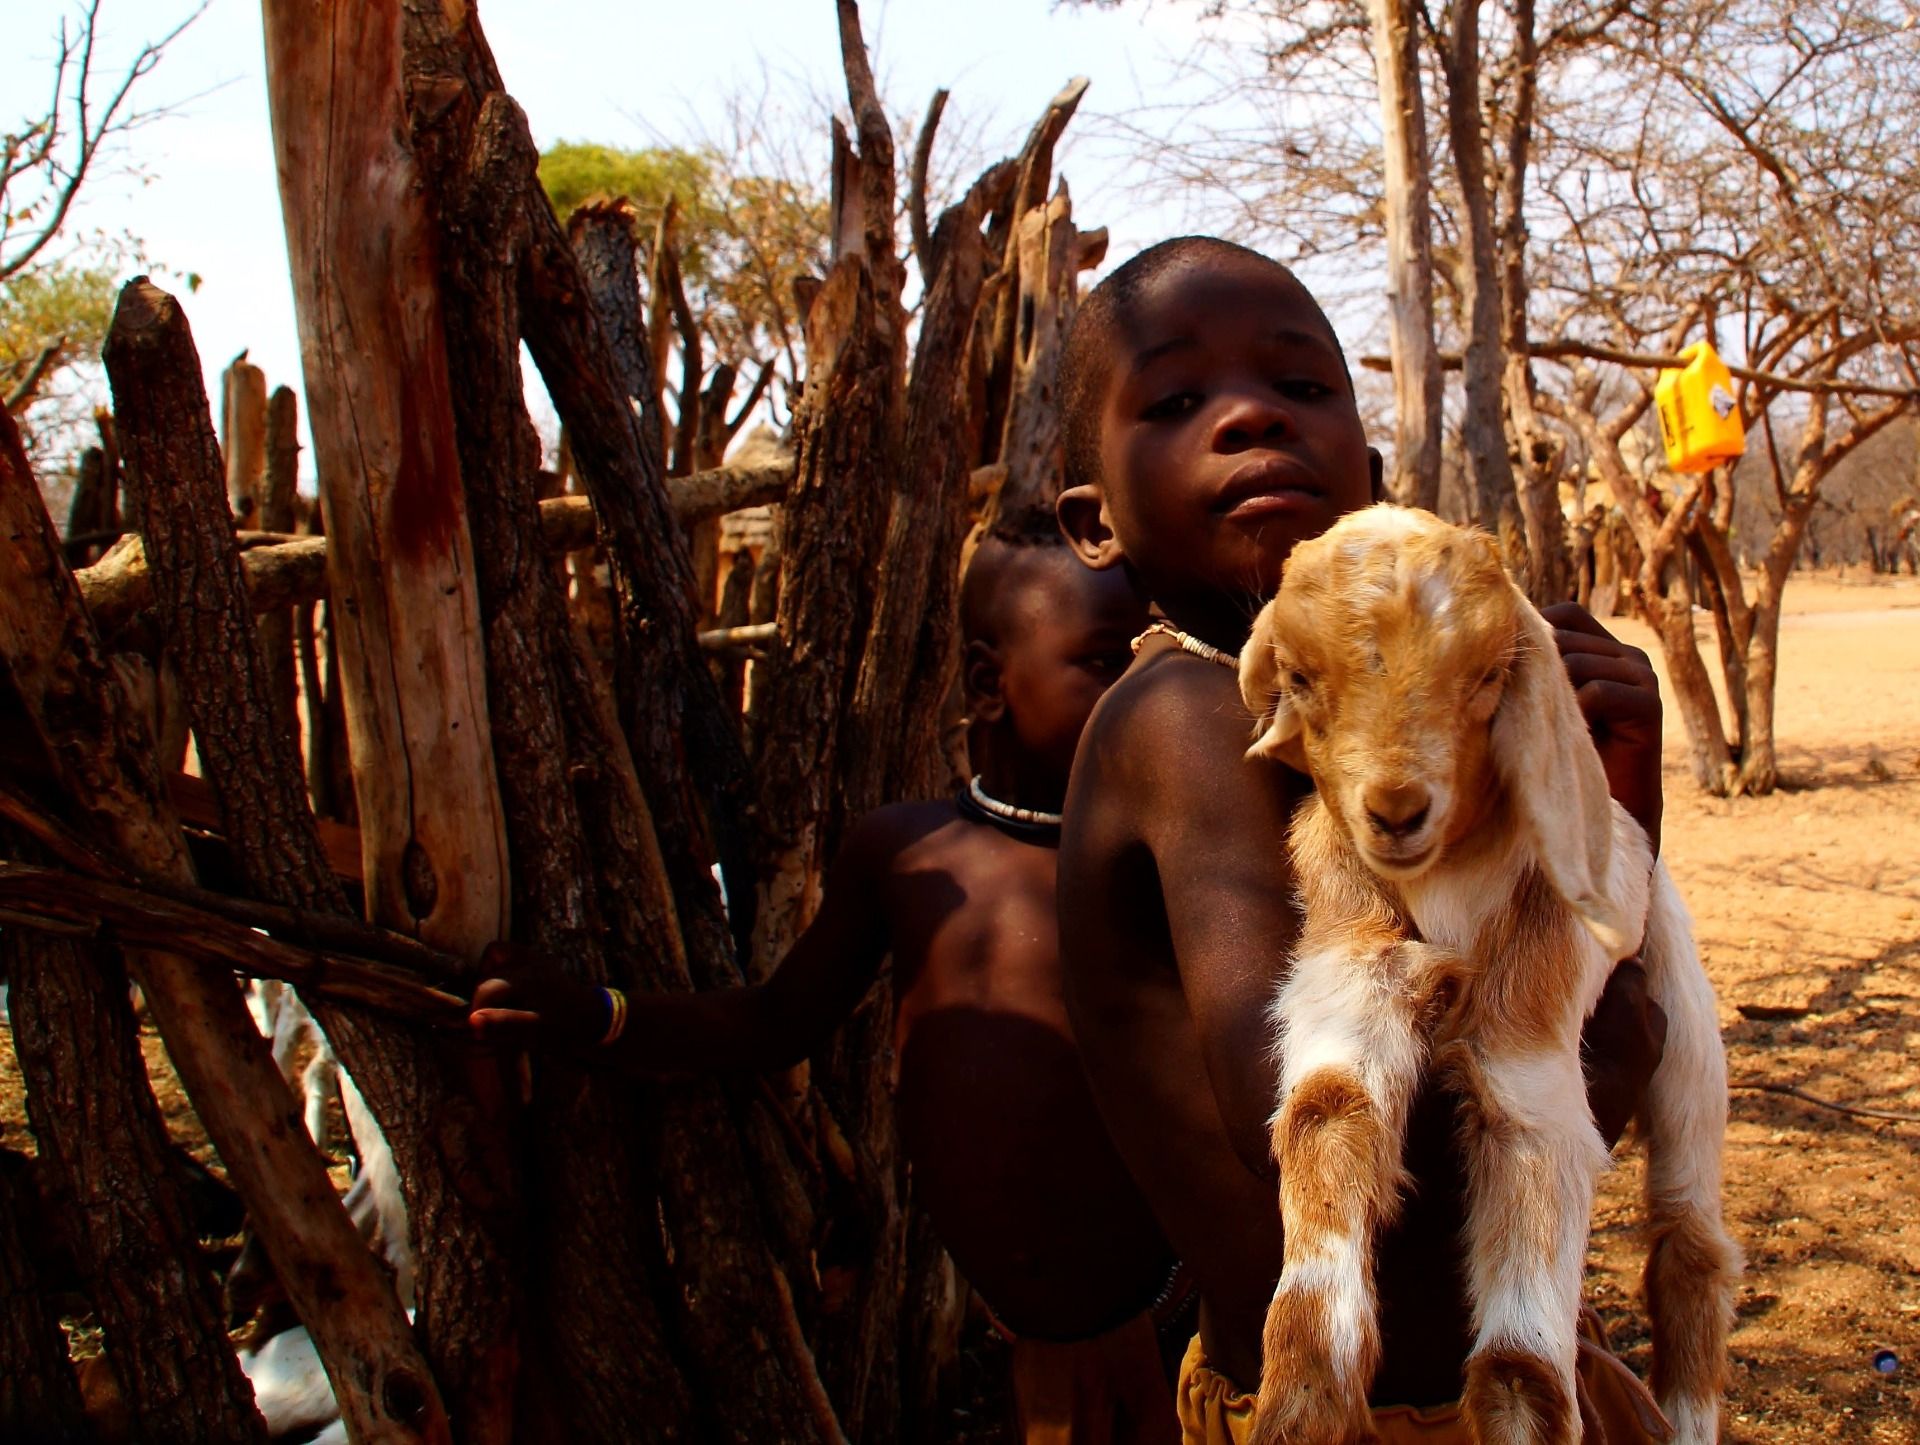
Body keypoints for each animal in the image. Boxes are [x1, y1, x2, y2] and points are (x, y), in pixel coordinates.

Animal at [1236, 505, 1737, 1445]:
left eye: (1487, 677)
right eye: (1300, 676)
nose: (1397, 811)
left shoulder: (1527, 1022)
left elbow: (1519, 1364)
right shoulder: (1353, 958)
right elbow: (1329, 1106)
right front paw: (1302, 1402)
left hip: (1689, 1036)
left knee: (1691, 1239)